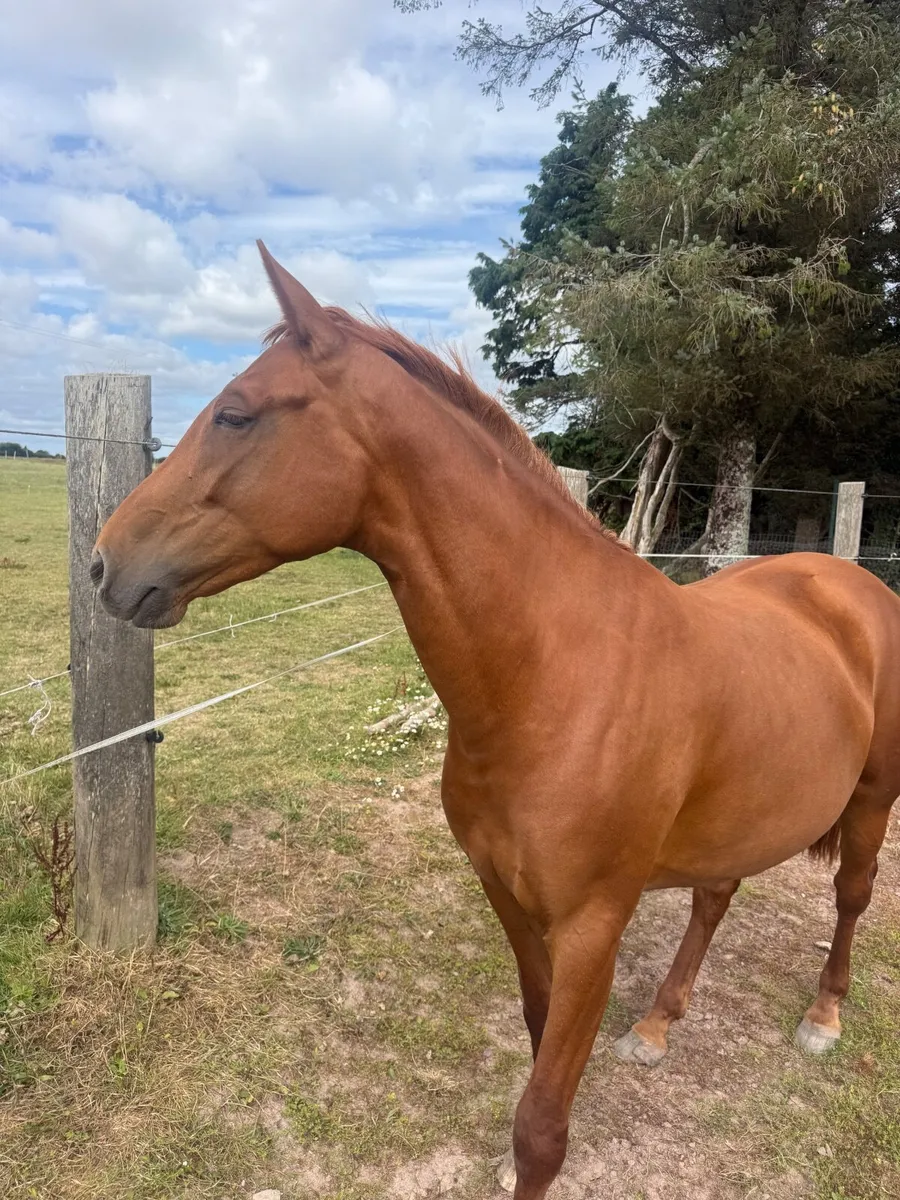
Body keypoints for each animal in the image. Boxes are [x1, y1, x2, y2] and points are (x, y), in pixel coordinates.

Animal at [93, 243, 900, 1200]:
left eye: (234, 414)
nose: (104, 563)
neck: (552, 679)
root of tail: (848, 581)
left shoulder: (592, 926)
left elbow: (542, 1126)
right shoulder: (510, 901)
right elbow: (537, 1038)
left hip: (873, 800)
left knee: (851, 896)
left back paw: (823, 1016)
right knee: (715, 896)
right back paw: (657, 1026)